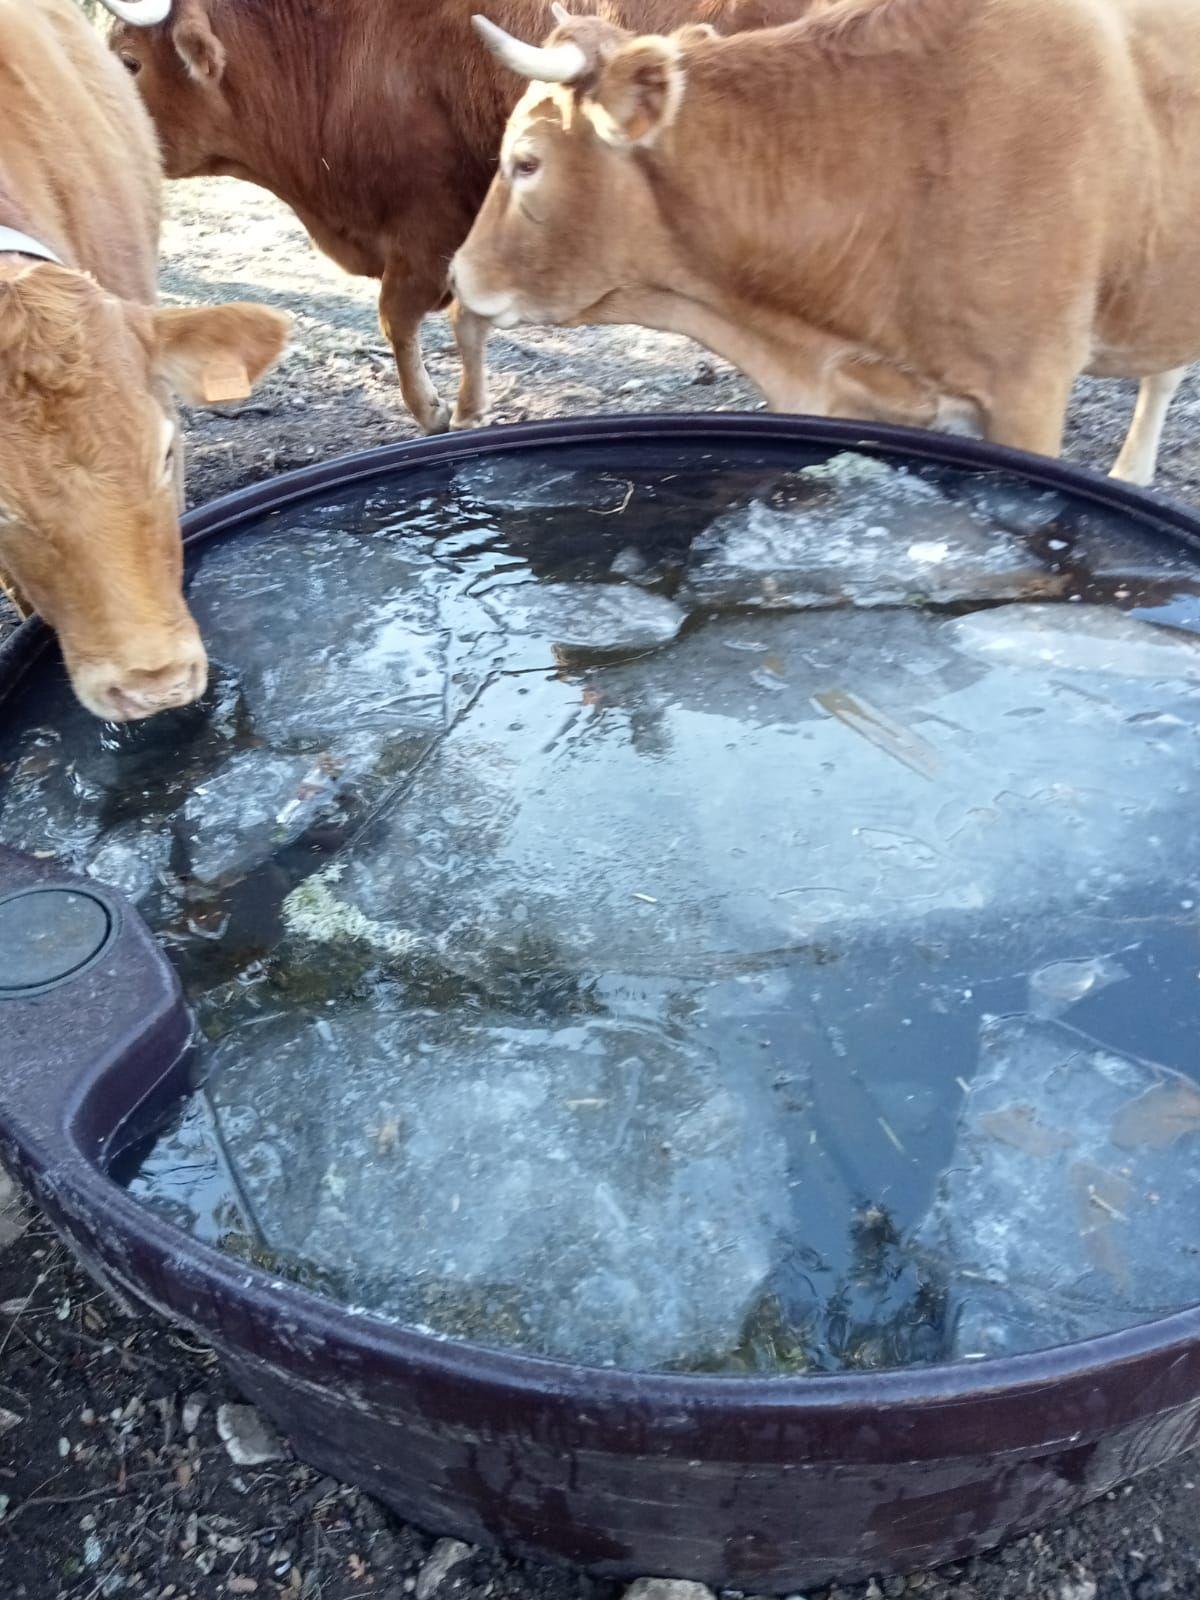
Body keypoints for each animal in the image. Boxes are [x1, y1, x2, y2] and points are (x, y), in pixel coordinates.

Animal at [108, 0, 812, 438]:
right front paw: (466, 406)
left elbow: (404, 317)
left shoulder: (429, 229)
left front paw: (437, 410)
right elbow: (459, 317)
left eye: (128, 61)